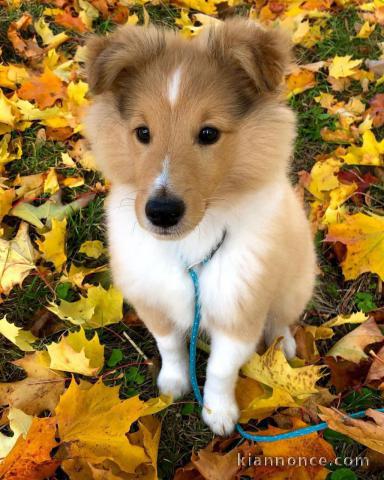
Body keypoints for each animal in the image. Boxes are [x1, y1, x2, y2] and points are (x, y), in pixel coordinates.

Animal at [85, 19, 316, 436]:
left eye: (208, 134)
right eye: (143, 133)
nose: (161, 212)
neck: (191, 246)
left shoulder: (240, 309)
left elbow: (222, 369)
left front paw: (218, 413)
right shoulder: (152, 298)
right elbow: (170, 346)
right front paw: (173, 383)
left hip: (296, 282)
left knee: (281, 320)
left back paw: (283, 346)